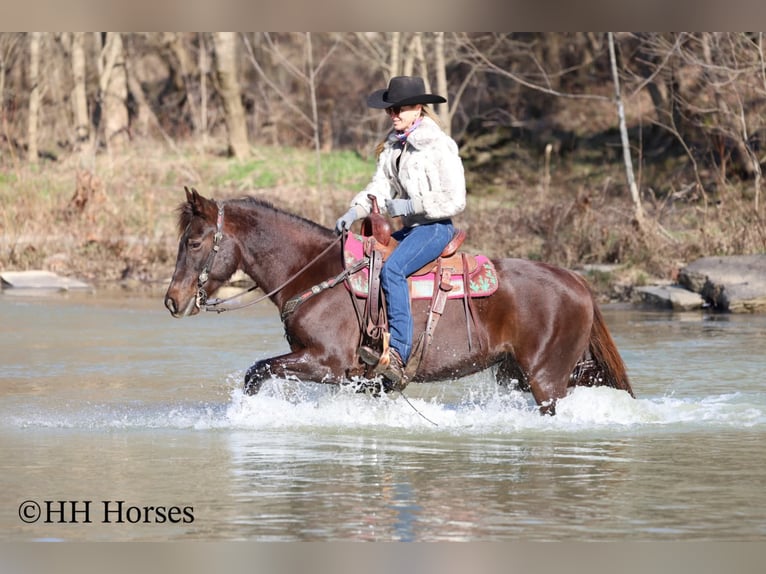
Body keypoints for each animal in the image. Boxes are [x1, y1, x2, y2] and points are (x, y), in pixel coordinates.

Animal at [164, 187, 634, 414]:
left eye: (194, 242)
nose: (173, 300)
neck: (316, 275)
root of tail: (576, 280)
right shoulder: (356, 378)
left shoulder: (326, 364)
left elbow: (256, 373)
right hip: (518, 373)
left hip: (544, 378)